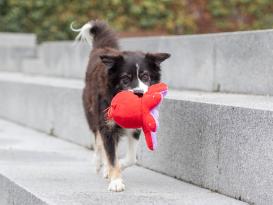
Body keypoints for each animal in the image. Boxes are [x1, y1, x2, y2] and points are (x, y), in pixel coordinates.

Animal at [73, 20, 169, 191]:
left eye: (145, 76)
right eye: (125, 79)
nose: (139, 93)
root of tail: (102, 48)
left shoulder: (135, 127)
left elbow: (130, 158)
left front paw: (118, 167)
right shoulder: (107, 126)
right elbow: (111, 155)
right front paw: (116, 181)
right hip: (92, 114)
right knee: (97, 141)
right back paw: (98, 163)